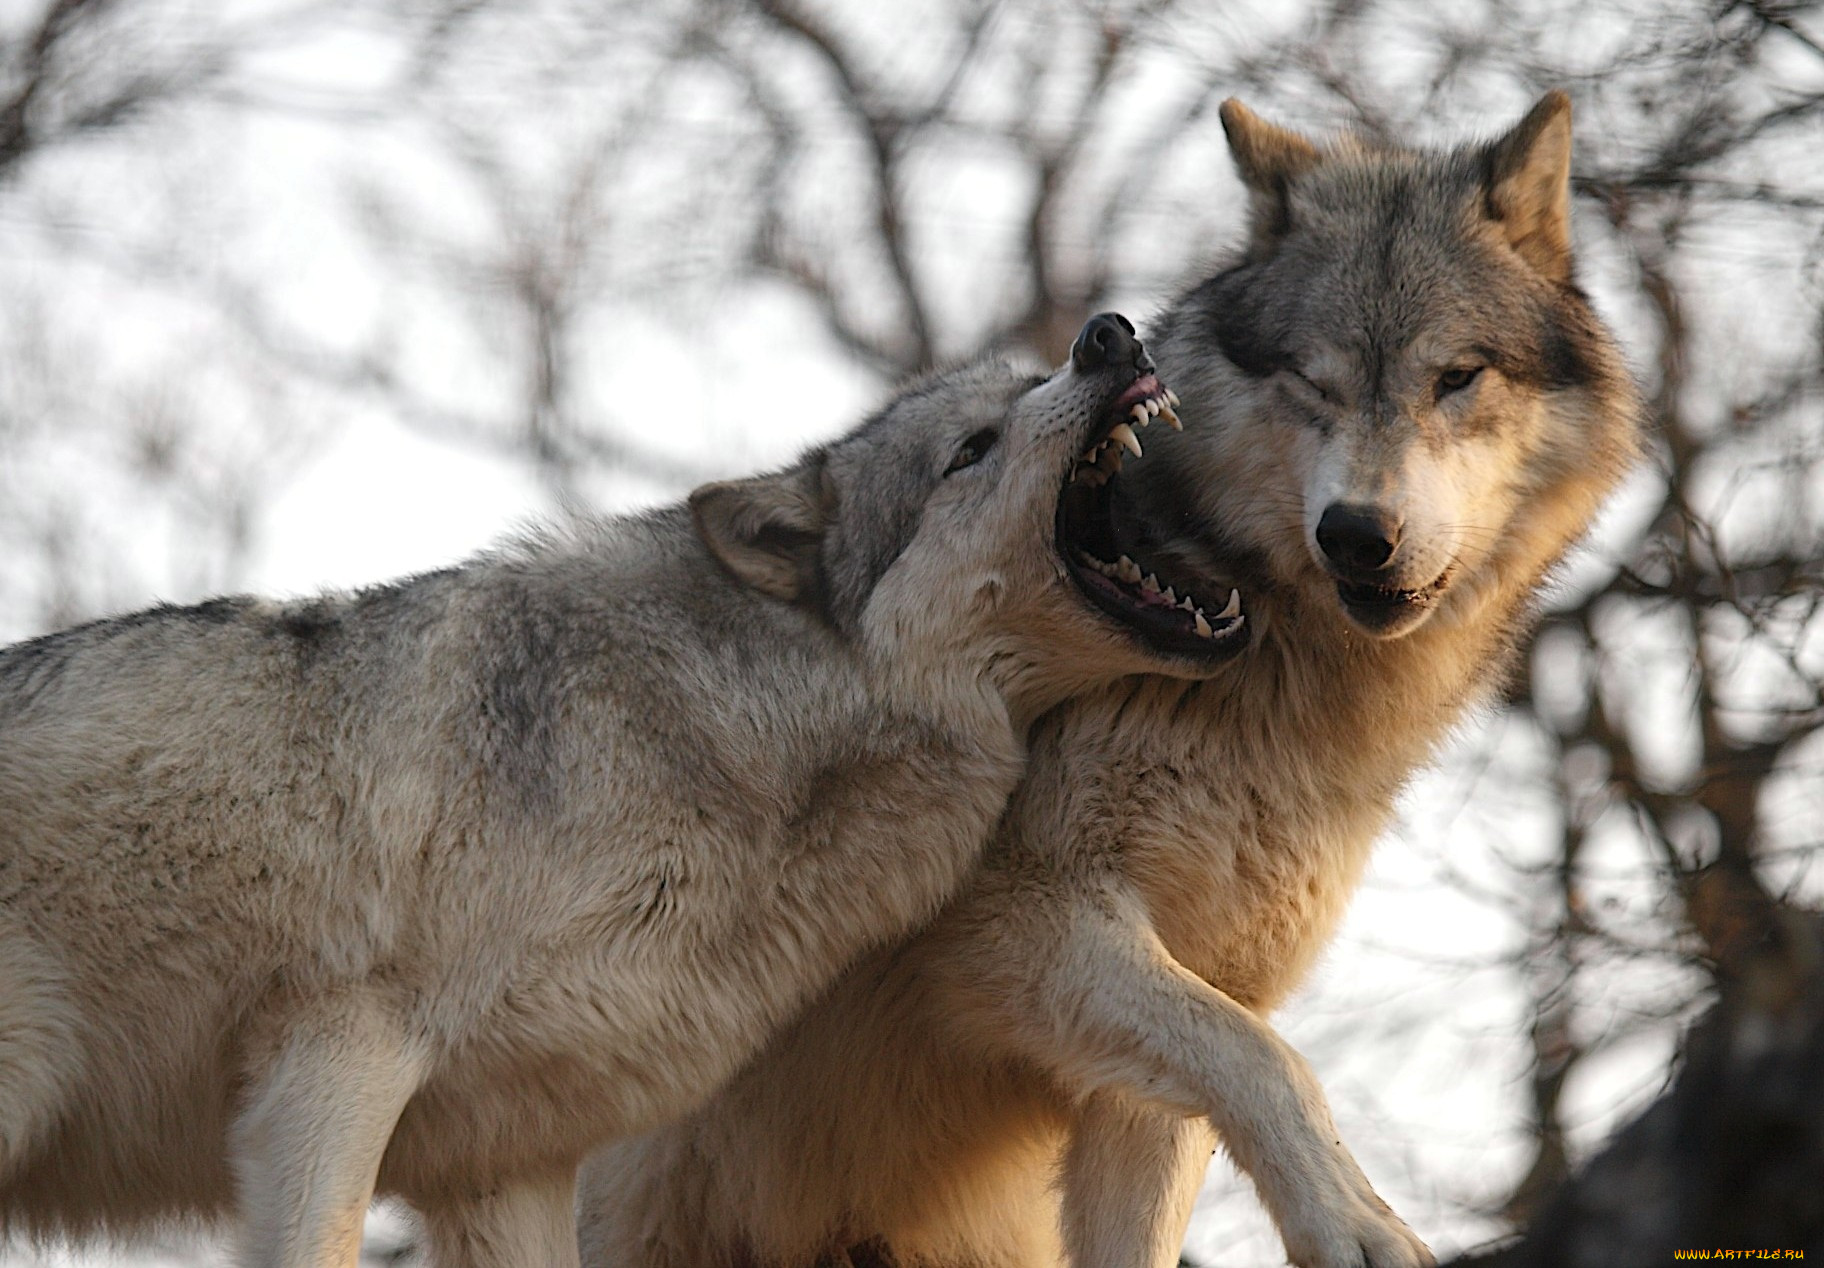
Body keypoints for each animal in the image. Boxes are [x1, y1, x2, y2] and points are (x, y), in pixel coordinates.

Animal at [576, 91, 1648, 1268]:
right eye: (1309, 381)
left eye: (1456, 376)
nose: (1357, 534)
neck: (1270, 708)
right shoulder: (1024, 923)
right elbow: (1266, 1058)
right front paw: (1353, 1221)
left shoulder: (1173, 1000)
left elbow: (1203, 1103)